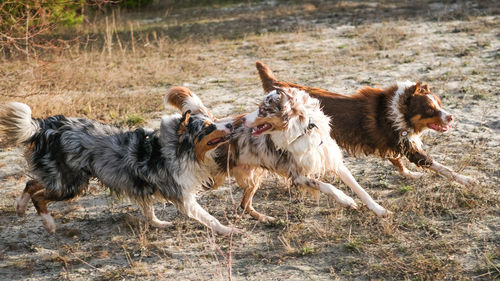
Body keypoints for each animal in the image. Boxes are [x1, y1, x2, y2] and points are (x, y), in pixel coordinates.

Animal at [0, 99, 236, 234]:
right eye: (207, 127)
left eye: (213, 118)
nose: (231, 124)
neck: (178, 149)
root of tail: (47, 127)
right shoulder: (182, 196)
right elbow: (209, 217)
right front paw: (227, 230)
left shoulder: (142, 186)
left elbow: (148, 211)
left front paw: (158, 224)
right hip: (71, 185)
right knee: (39, 197)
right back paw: (49, 225)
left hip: (62, 178)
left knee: (32, 183)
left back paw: (20, 208)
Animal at [168, 85, 390, 221]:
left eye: (263, 110)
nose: (240, 121)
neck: (303, 130)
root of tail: (215, 123)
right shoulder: (298, 175)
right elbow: (327, 186)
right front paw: (346, 200)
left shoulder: (331, 160)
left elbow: (360, 189)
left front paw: (379, 210)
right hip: (213, 178)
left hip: (253, 177)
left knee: (244, 204)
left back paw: (266, 219)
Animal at [256, 60, 478, 185]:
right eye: (430, 110)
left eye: (440, 104)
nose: (451, 117)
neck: (398, 110)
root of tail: (278, 86)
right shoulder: (407, 147)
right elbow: (441, 167)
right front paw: (467, 180)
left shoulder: (394, 143)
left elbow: (399, 164)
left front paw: (411, 175)